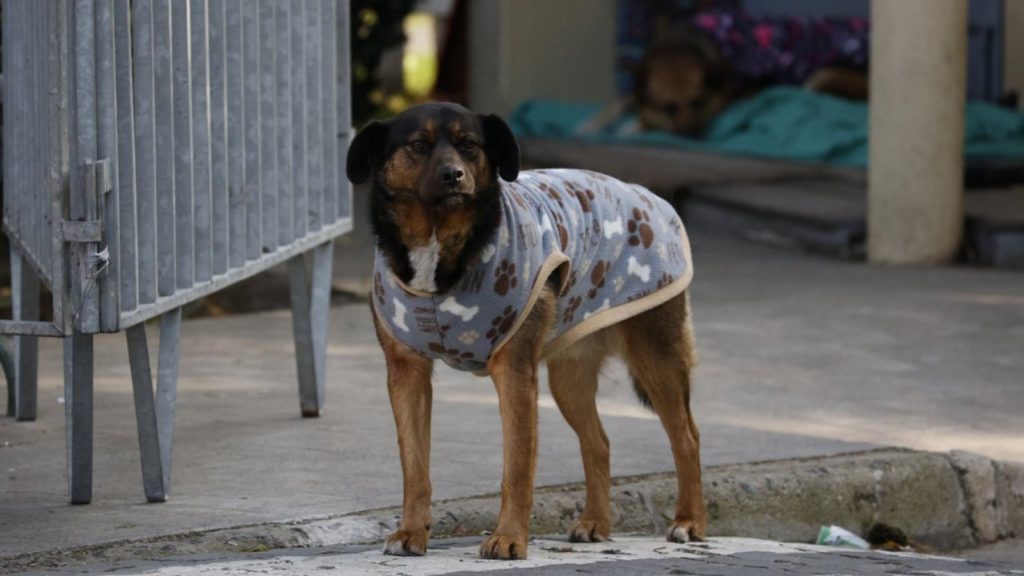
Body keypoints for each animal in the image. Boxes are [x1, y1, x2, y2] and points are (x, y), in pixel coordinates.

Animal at [344, 101, 704, 557]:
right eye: (419, 145)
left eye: (469, 144)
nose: (453, 175)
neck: (442, 242)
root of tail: (651, 197)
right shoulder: (407, 373)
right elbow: (415, 466)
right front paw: (411, 532)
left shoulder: (514, 373)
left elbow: (516, 467)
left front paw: (509, 538)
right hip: (569, 377)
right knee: (599, 443)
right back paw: (596, 521)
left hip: (656, 355)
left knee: (686, 438)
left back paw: (690, 521)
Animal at [585, 10, 872, 138]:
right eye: (669, 108)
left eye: (699, 102)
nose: (693, 136)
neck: (682, 44)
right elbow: (622, 99)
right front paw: (593, 124)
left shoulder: (724, 96)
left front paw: (634, 126)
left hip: (822, 74)